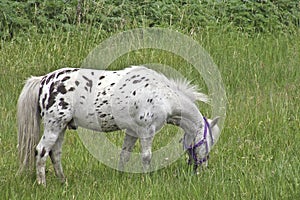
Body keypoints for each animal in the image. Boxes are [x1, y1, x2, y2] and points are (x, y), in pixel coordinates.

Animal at [17, 66, 221, 185]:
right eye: (208, 142)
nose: (202, 170)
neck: (162, 95)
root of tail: (43, 80)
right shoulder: (146, 131)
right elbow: (146, 157)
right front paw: (146, 180)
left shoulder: (132, 132)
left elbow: (124, 155)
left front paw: (121, 177)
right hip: (54, 126)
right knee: (41, 151)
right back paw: (42, 184)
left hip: (61, 128)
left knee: (55, 154)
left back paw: (63, 182)